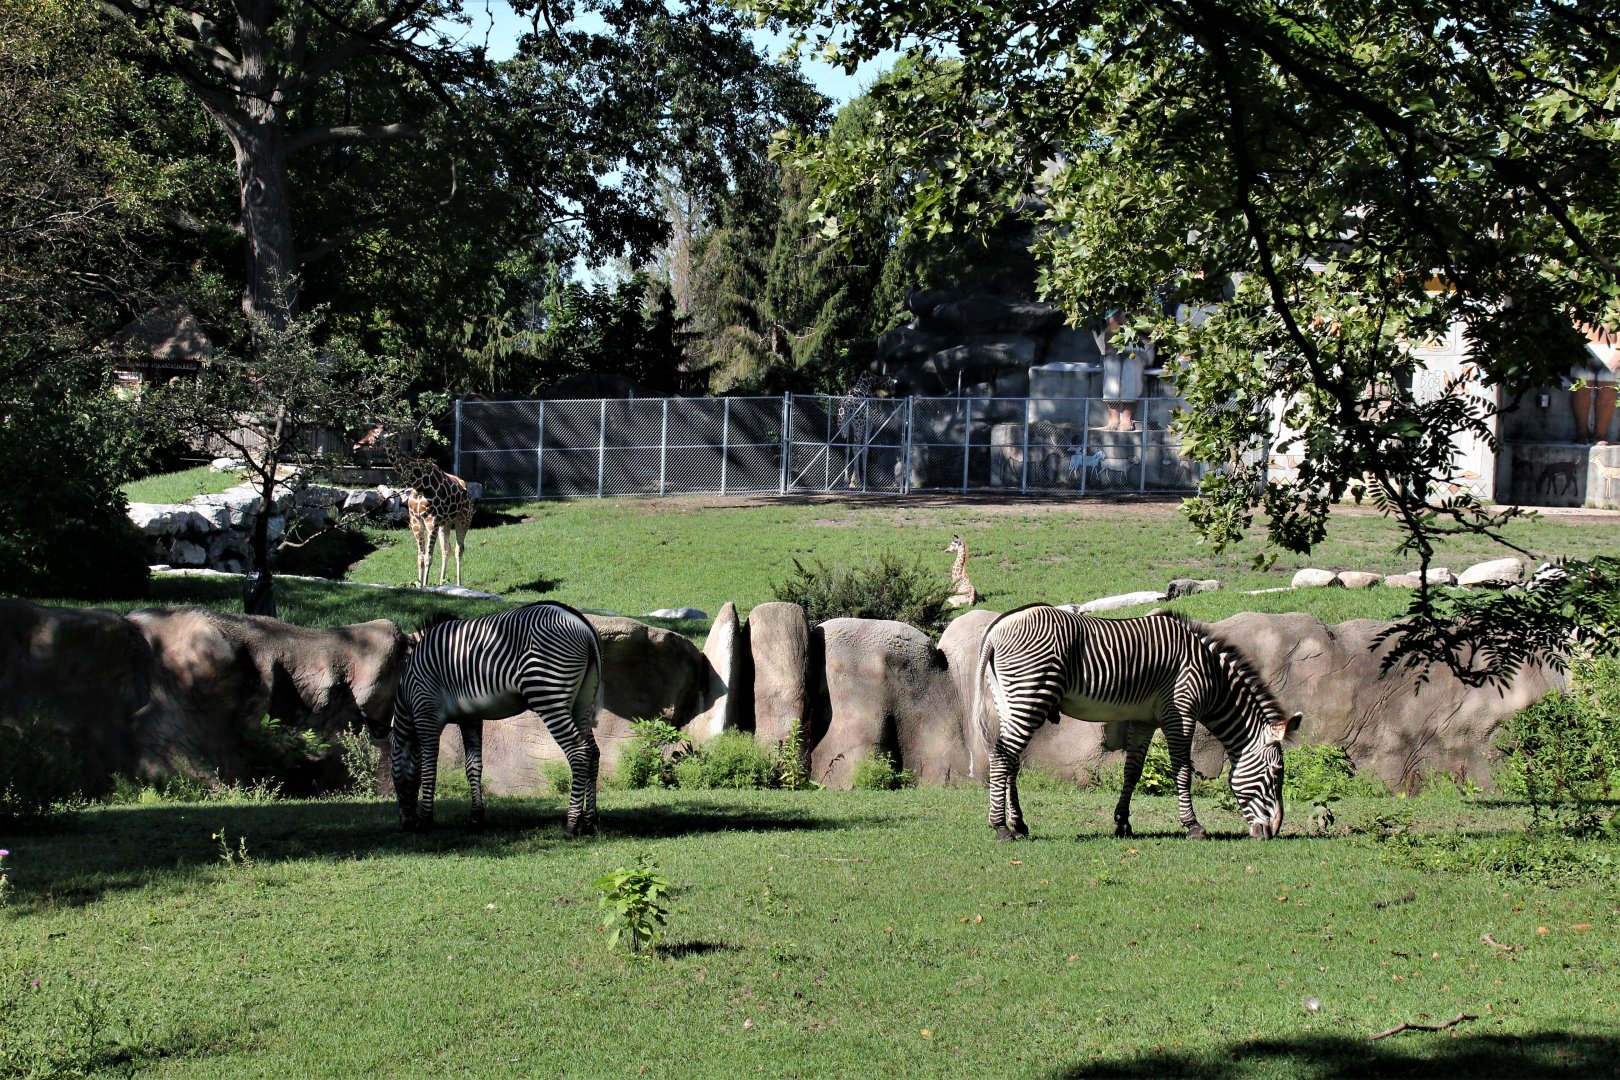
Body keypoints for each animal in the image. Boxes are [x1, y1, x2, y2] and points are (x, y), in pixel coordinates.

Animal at [384, 602, 604, 836]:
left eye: (392, 771)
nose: (406, 824)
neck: (407, 689)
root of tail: (582, 624)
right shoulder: (469, 718)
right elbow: (473, 766)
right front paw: (476, 819)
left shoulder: (426, 713)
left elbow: (428, 769)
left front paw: (426, 821)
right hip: (581, 702)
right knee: (593, 752)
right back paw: (589, 822)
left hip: (548, 694)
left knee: (579, 751)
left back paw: (571, 824)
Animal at [972, 603, 1301, 841]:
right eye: (1276, 772)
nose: (1273, 832)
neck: (1211, 676)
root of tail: (997, 627)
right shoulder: (1181, 712)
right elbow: (1182, 770)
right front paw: (1193, 826)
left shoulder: (1145, 720)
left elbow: (1133, 771)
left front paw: (1122, 824)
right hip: (1031, 693)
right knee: (1002, 756)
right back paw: (1001, 828)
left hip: (1009, 700)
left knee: (1009, 758)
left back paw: (1019, 825)